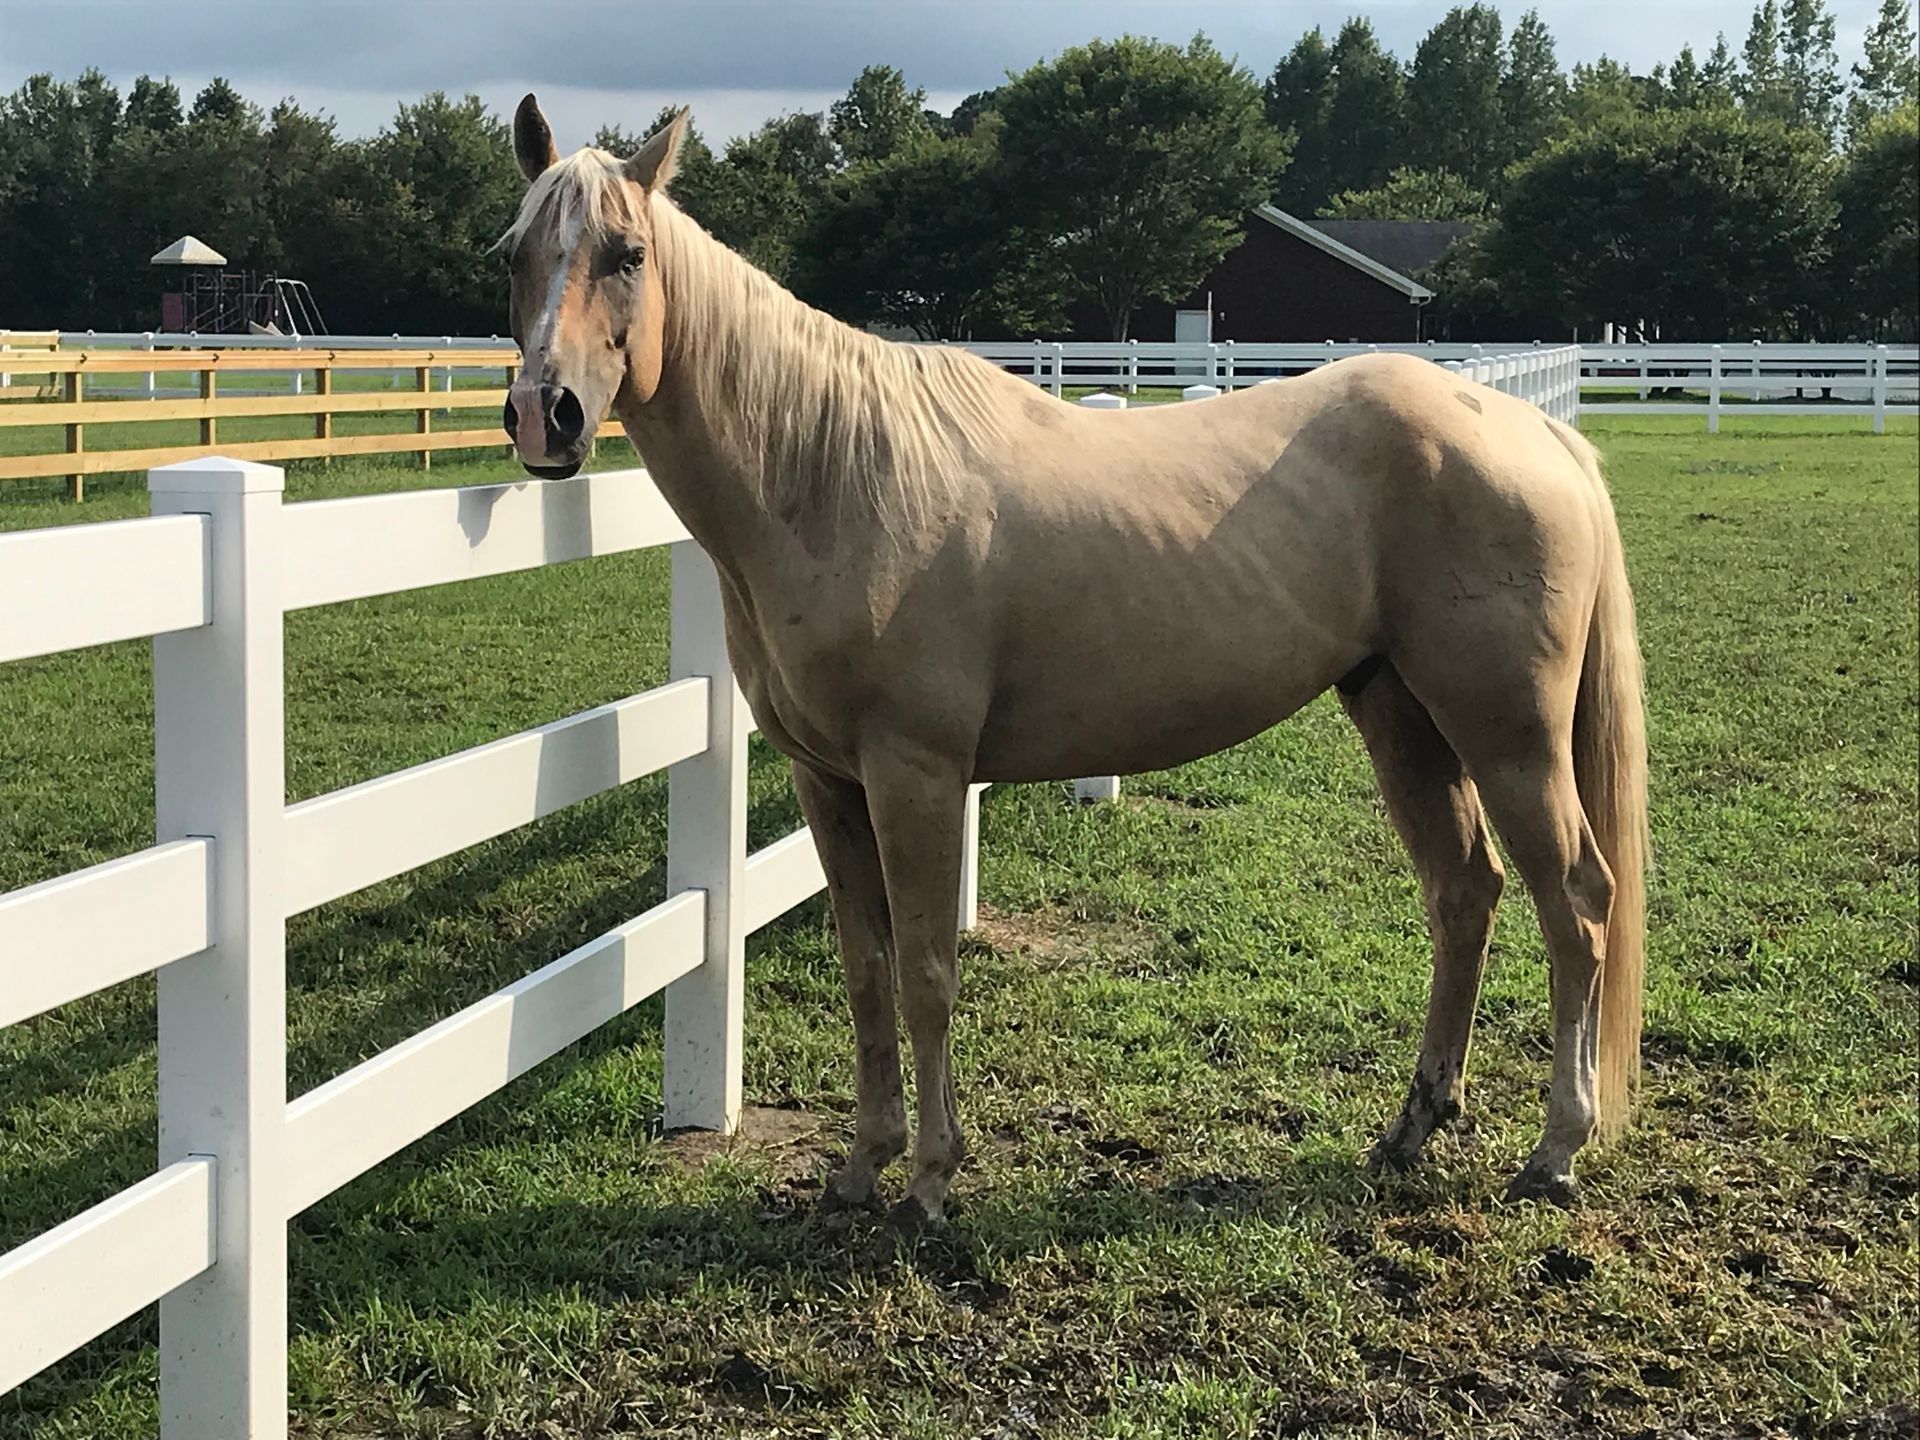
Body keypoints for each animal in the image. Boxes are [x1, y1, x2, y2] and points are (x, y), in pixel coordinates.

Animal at [497, 98, 1648, 1223]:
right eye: (514, 254)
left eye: (628, 253)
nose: (544, 416)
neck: (830, 474)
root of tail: (1535, 432)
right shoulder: (826, 781)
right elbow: (867, 972)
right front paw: (862, 1167)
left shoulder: (915, 775)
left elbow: (926, 971)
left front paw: (930, 1180)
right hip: (1402, 716)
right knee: (1464, 893)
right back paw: (1413, 1126)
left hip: (1509, 734)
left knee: (1577, 904)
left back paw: (1555, 1150)